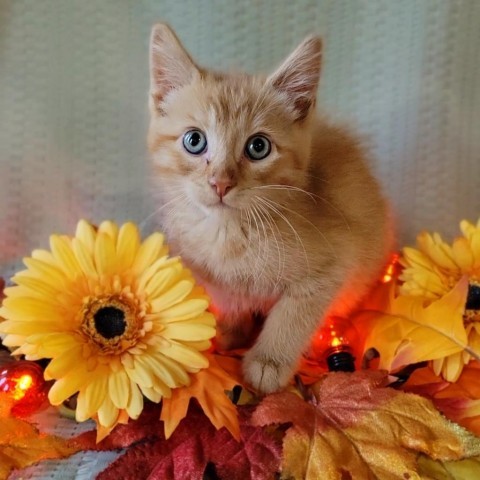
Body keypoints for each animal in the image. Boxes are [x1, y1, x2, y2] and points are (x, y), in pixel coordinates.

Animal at [148, 23, 392, 394]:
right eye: (194, 140)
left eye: (258, 147)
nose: (221, 183)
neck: (230, 235)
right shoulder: (215, 279)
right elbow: (230, 301)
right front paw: (228, 333)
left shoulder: (331, 267)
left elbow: (292, 315)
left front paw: (268, 362)